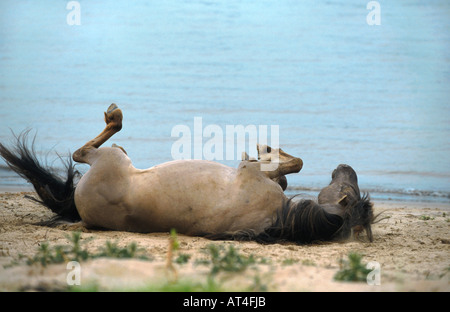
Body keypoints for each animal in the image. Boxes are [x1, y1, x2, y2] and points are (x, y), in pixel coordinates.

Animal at [0, 104, 374, 244]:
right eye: (347, 183)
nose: (345, 168)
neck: (282, 215)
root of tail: (80, 210)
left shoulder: (251, 174)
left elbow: (287, 165)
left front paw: (269, 150)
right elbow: (287, 169)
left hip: (109, 160)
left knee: (85, 151)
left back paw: (115, 118)